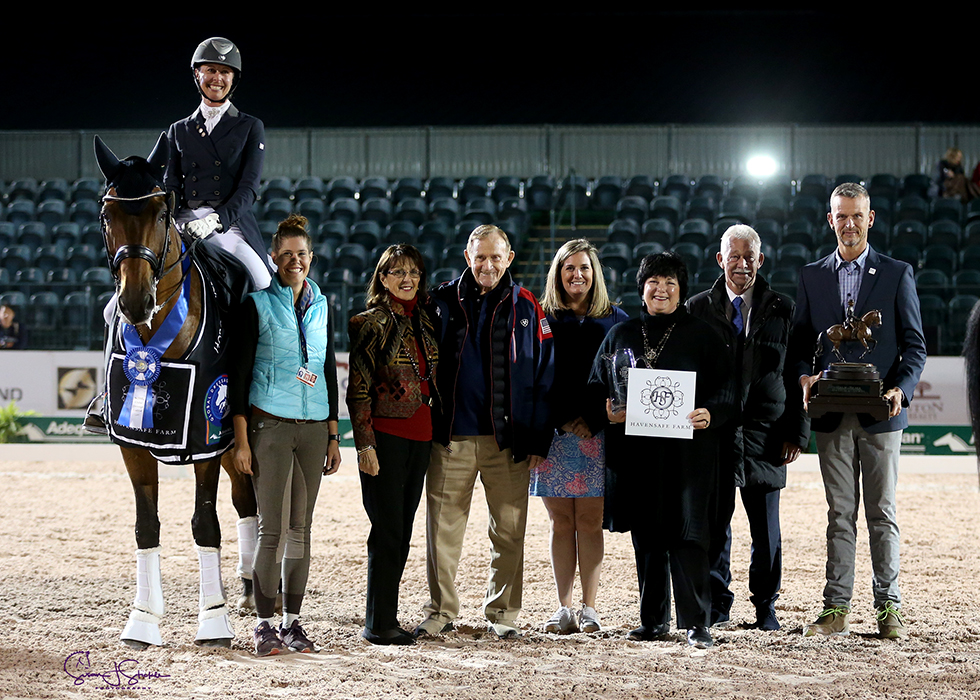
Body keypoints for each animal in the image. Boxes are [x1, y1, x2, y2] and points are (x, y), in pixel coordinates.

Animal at [93, 134, 256, 648]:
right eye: (108, 215)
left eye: (163, 214)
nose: (135, 301)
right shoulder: (132, 442)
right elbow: (146, 526)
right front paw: (142, 620)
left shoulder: (206, 438)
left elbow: (206, 524)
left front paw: (213, 620)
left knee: (248, 502)